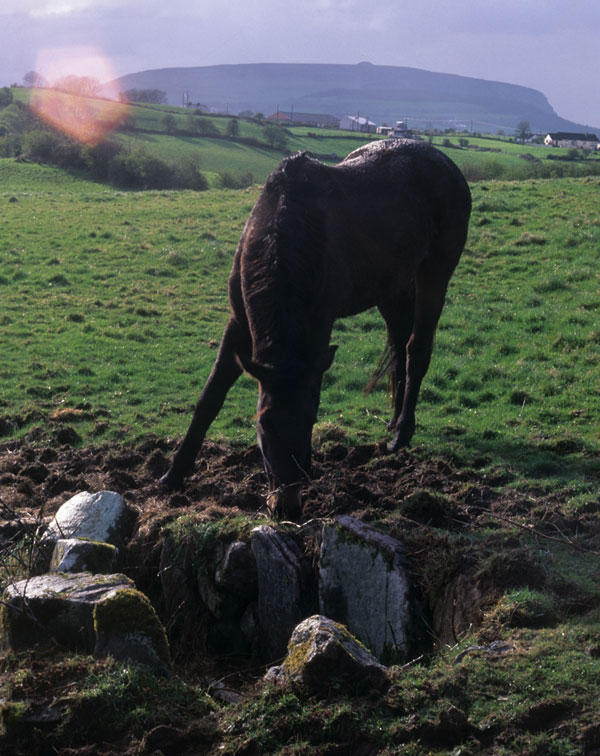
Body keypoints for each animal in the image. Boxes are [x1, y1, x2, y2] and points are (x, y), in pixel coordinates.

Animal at [162, 139, 472, 520]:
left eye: (310, 421)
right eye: (263, 422)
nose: (287, 508)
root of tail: (446, 163)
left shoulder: (320, 326)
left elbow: (313, 388)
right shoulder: (238, 323)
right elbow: (210, 398)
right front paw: (173, 475)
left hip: (435, 271)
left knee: (417, 348)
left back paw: (402, 432)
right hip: (392, 284)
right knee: (400, 344)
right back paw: (394, 420)